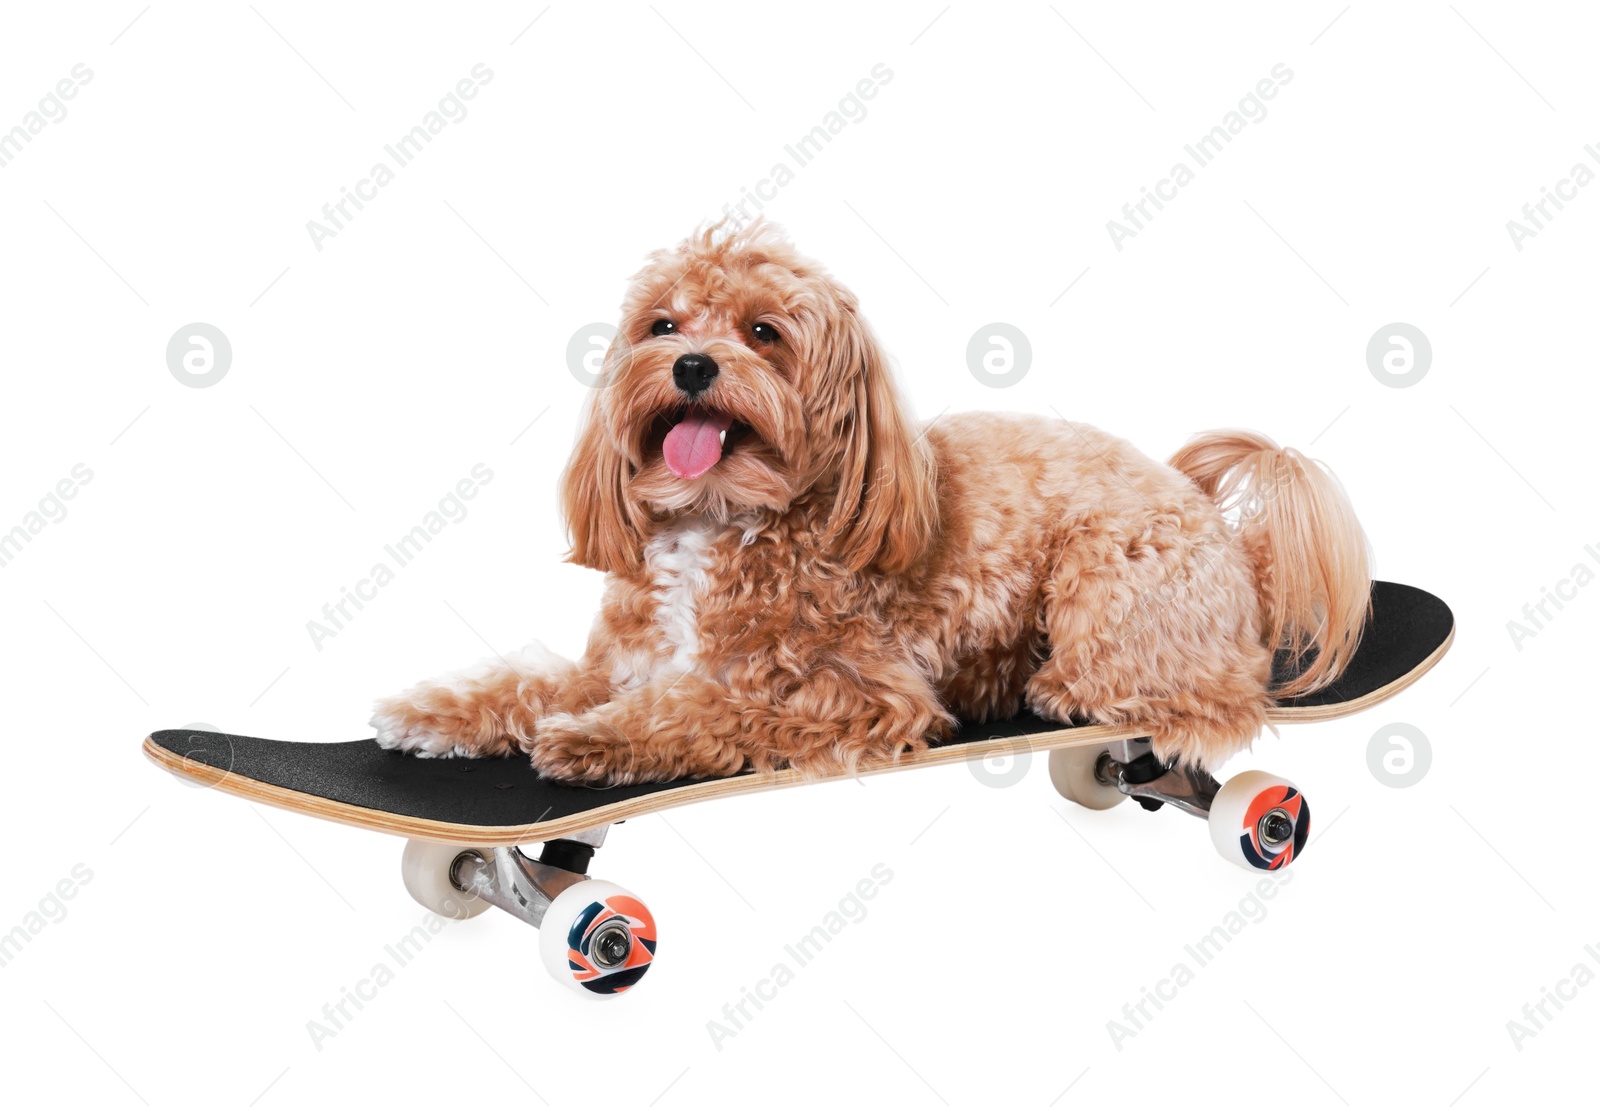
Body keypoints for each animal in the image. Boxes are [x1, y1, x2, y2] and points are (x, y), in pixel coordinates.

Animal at [368, 222, 1369, 787]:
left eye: (763, 333)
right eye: (662, 324)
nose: (691, 365)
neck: (722, 519)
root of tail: (1230, 539)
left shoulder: (853, 695)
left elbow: (705, 708)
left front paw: (596, 741)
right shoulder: (623, 661)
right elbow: (532, 681)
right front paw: (435, 712)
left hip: (1108, 577)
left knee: (1204, 699)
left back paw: (1061, 692)